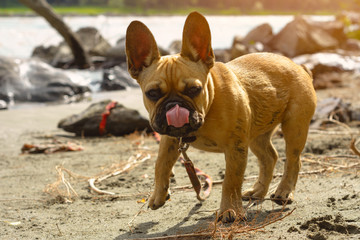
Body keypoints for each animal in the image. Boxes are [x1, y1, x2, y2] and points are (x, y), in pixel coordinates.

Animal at [125, 10, 316, 221]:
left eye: (194, 89)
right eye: (152, 93)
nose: (174, 106)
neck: (209, 106)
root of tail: (299, 67)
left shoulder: (235, 148)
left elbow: (231, 180)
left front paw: (229, 210)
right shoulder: (170, 139)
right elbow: (160, 165)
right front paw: (158, 195)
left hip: (294, 127)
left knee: (293, 160)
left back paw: (284, 191)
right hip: (256, 135)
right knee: (269, 158)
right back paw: (258, 191)